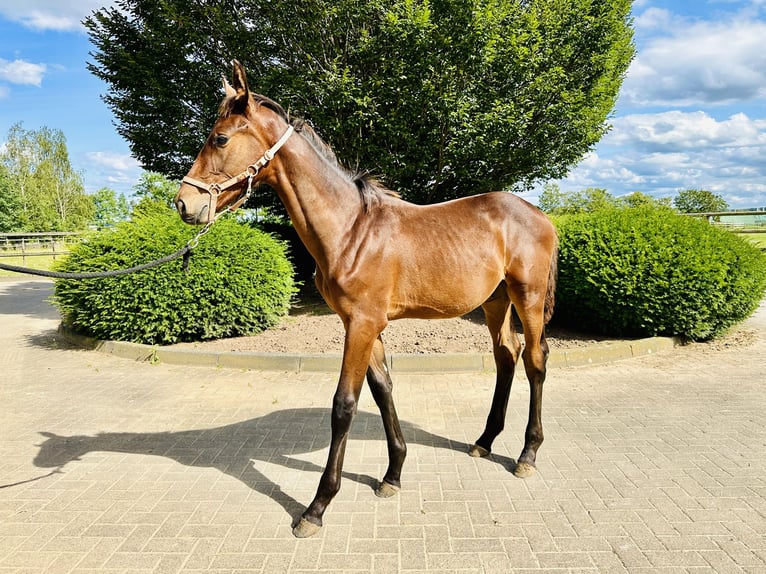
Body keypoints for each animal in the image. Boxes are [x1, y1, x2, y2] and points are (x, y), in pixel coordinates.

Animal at [174, 60, 558, 538]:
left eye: (220, 138)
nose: (183, 203)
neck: (351, 228)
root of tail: (541, 215)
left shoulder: (362, 323)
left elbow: (344, 404)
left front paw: (316, 507)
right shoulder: (362, 323)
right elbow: (382, 390)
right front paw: (392, 475)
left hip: (527, 297)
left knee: (535, 361)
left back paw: (527, 454)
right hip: (494, 302)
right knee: (507, 355)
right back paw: (484, 441)